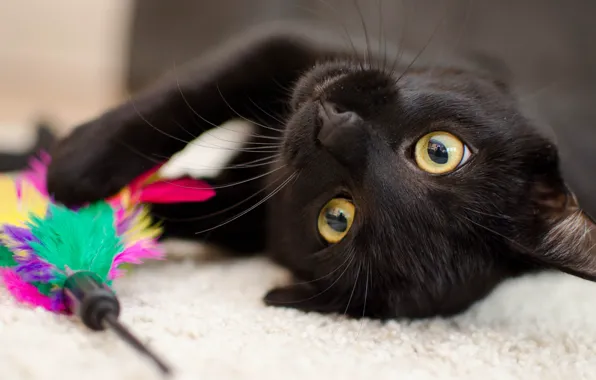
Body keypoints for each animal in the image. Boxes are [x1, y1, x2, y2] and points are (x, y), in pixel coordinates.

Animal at [44, 23, 592, 320]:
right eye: (439, 151)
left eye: (337, 219)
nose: (334, 129)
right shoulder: (288, 45)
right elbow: (192, 92)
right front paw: (76, 165)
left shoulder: (243, 222)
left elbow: (173, 204)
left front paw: (64, 212)